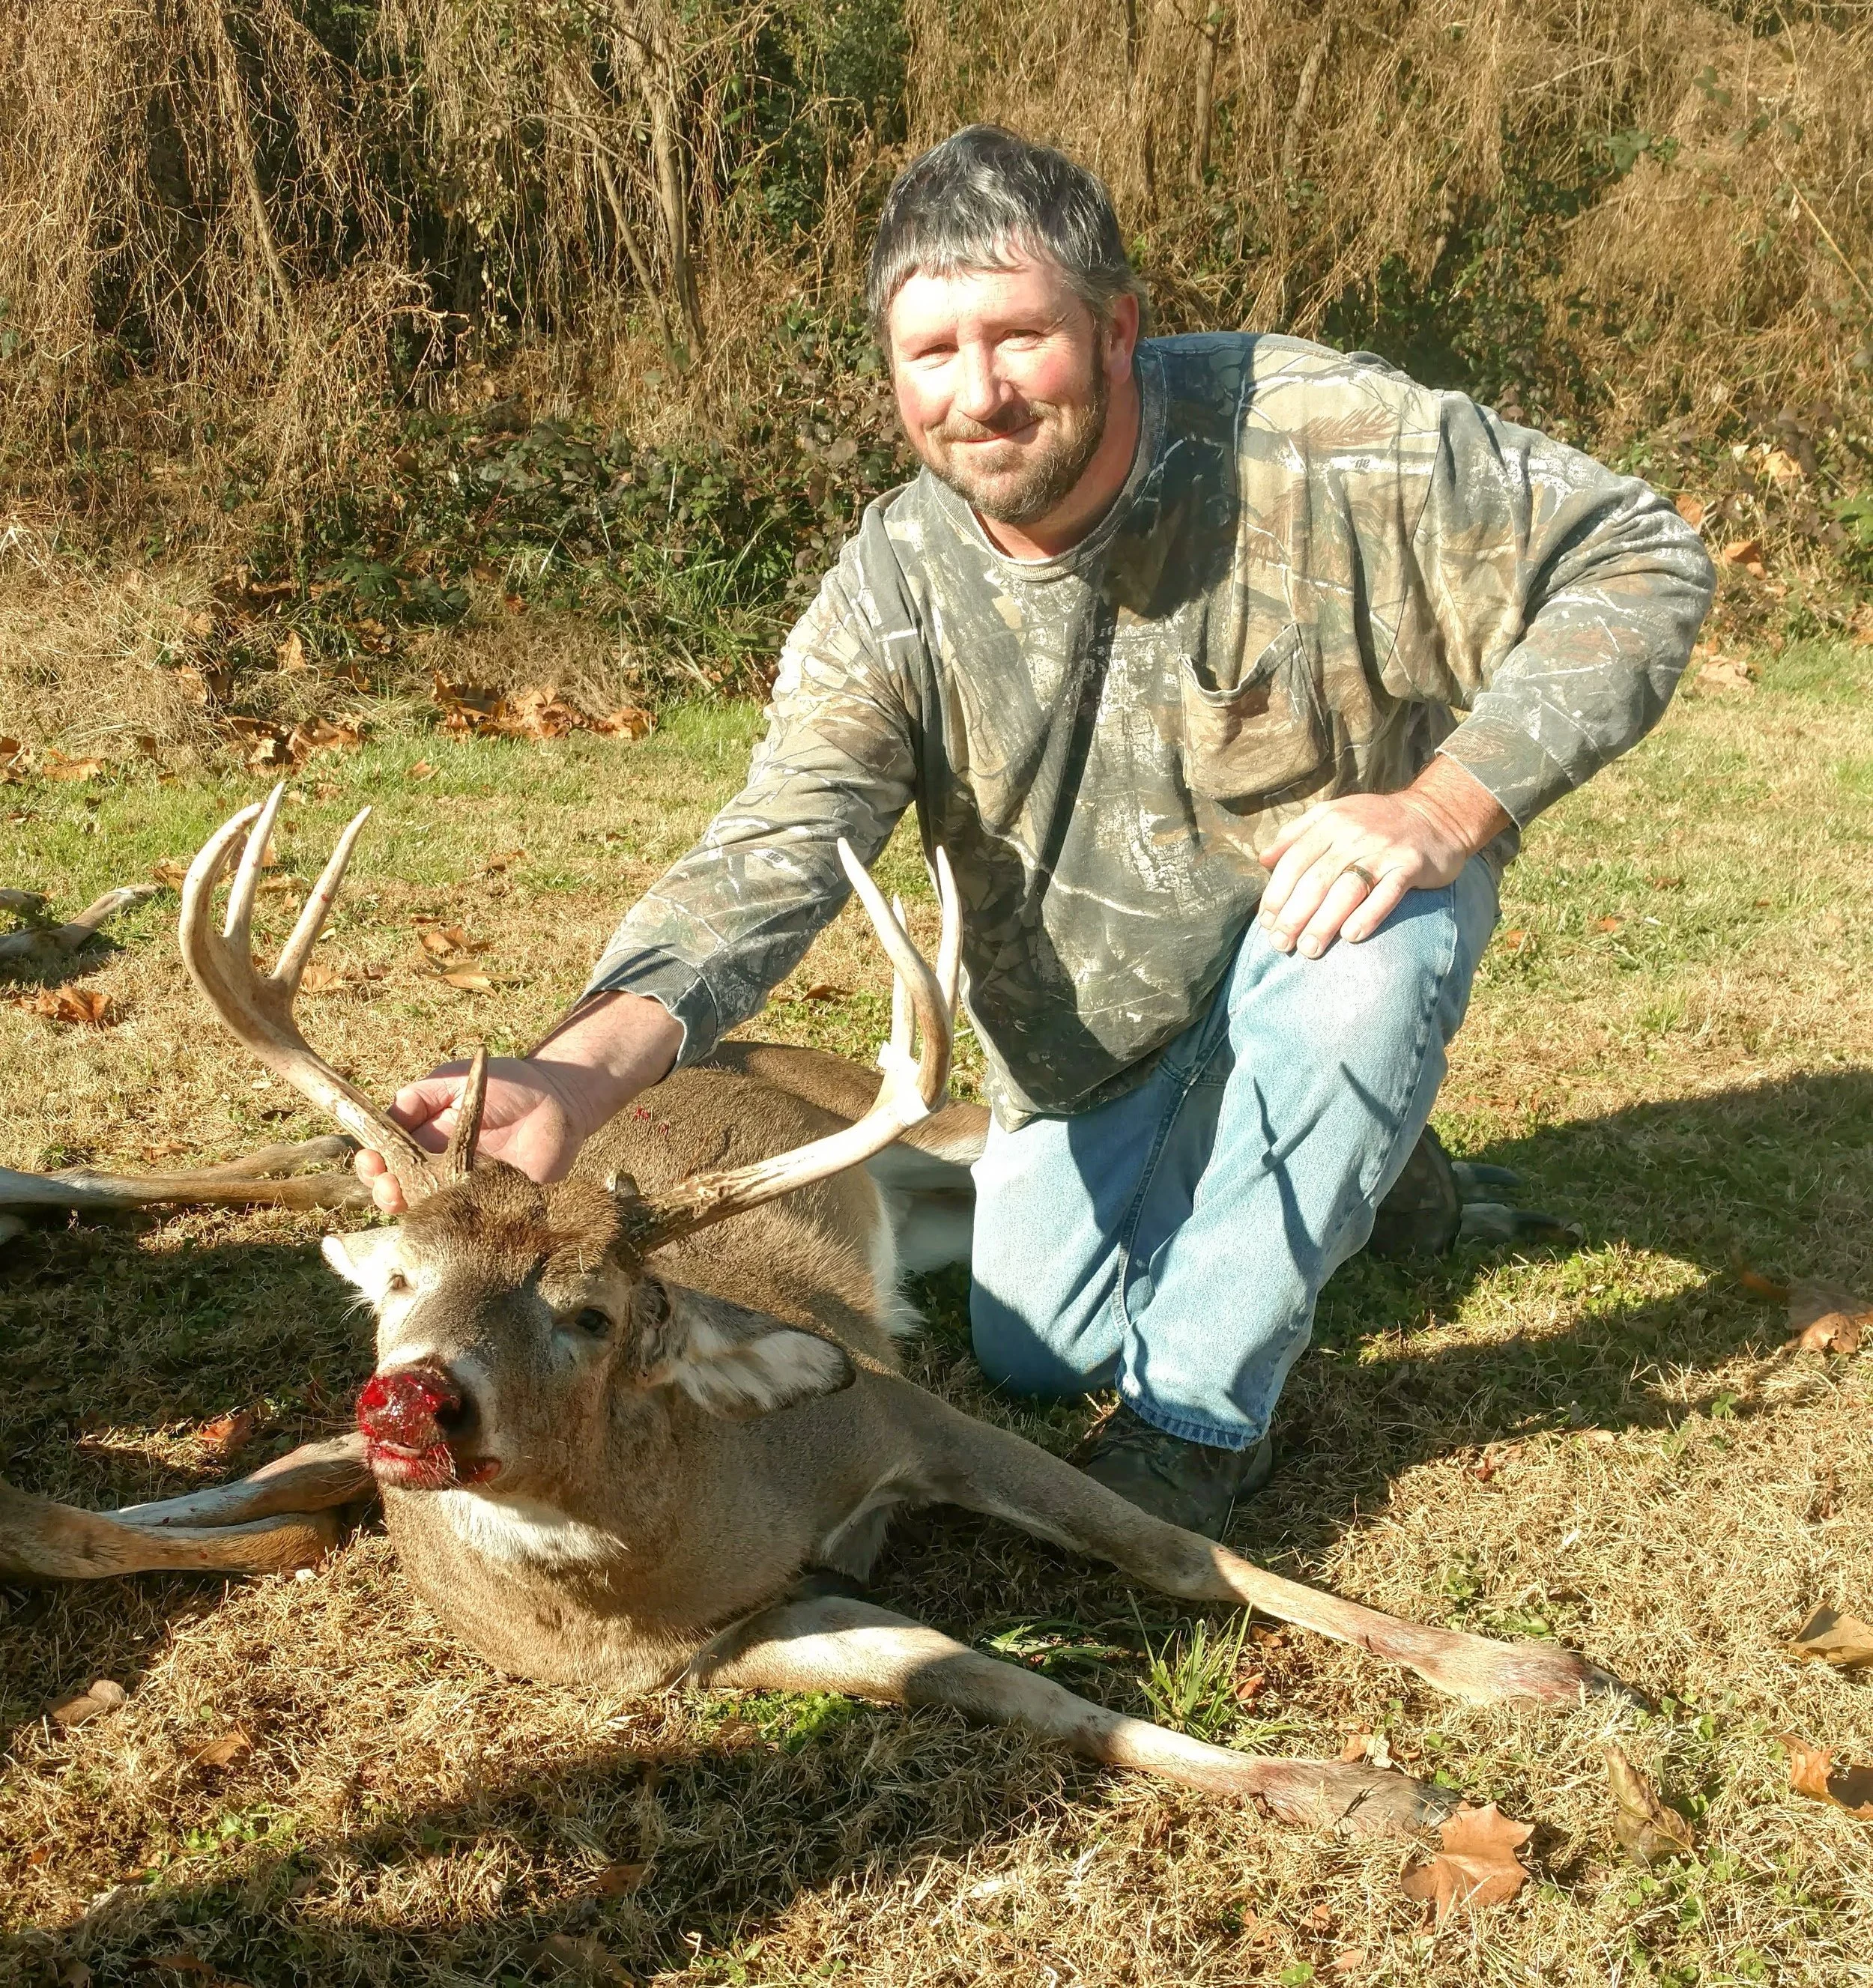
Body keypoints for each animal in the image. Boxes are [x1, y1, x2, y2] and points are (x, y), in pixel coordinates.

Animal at [5, 787, 1626, 1837]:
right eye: (398, 1282)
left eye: (594, 1311)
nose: (413, 1397)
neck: (695, 1530)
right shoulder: (733, 1638)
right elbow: (1016, 1688)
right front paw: (1367, 1791)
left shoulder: (895, 1406)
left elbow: (1172, 1550)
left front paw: (1525, 1673)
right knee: (267, 1463)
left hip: (964, 1147)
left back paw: (1466, 1201)